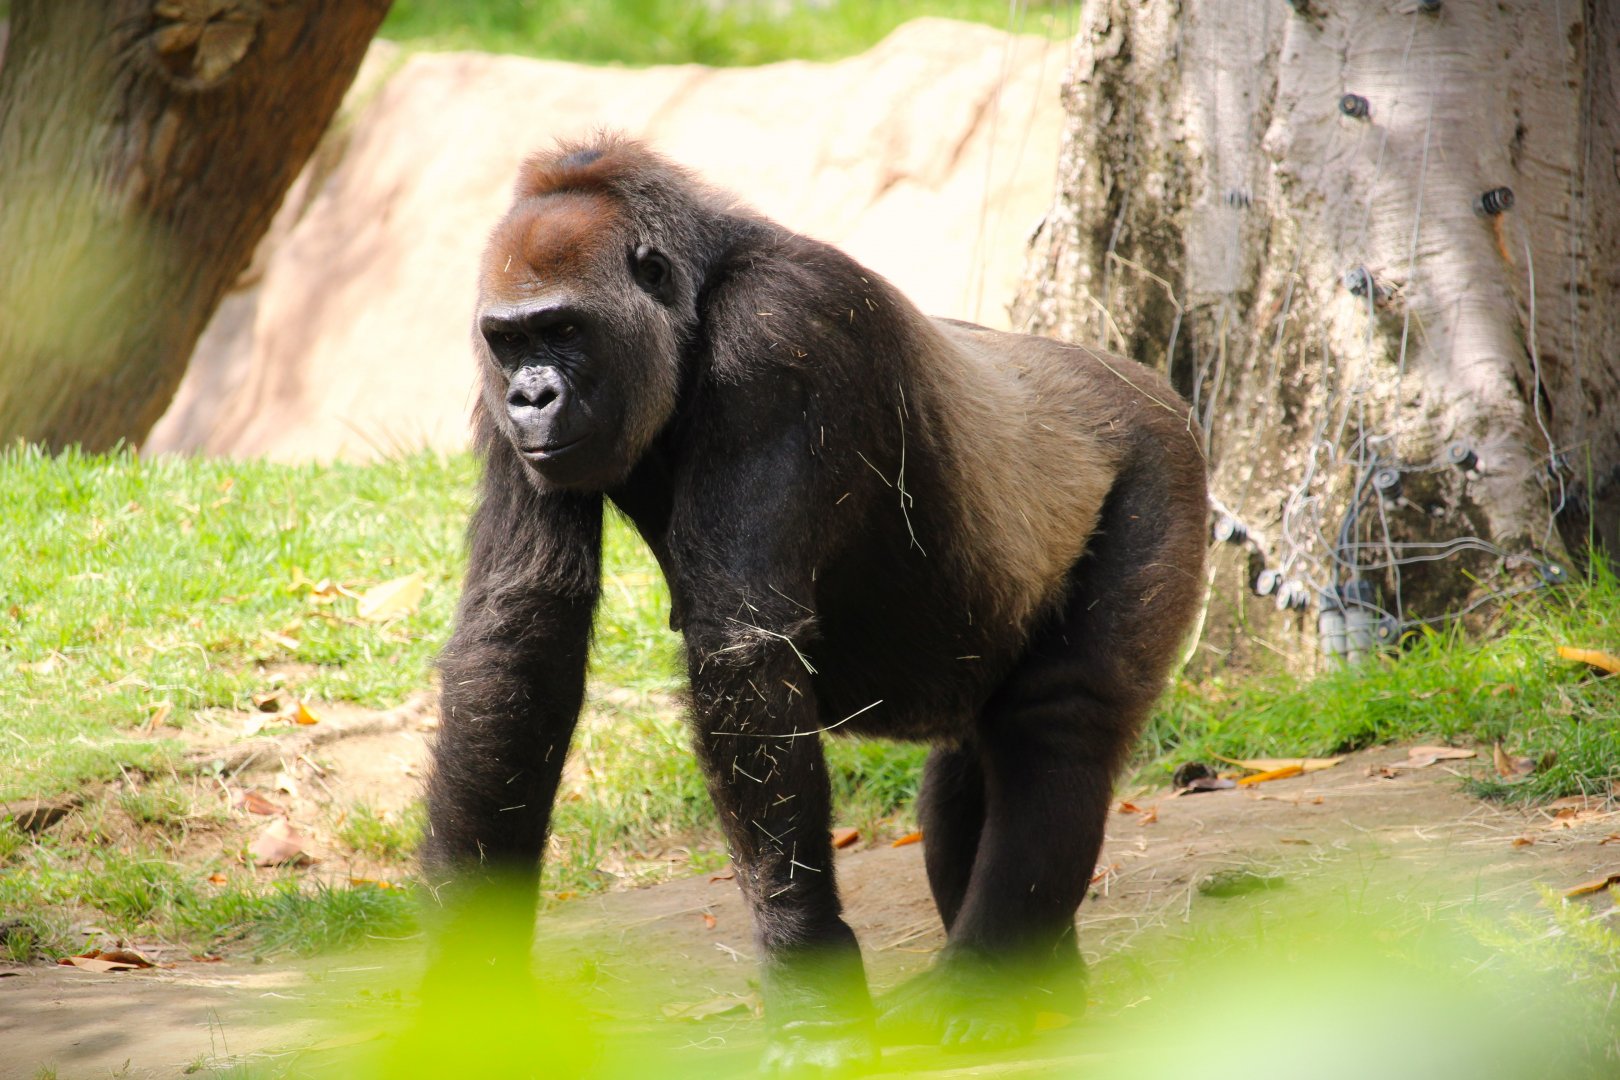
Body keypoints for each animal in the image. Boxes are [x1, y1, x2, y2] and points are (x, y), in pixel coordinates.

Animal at [421, 134, 1207, 1075]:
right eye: (510, 341)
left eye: (566, 330)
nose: (531, 396)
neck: (697, 299)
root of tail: (1137, 378)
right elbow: (520, 638)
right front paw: (471, 995)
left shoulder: (778, 336)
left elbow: (742, 648)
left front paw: (809, 983)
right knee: (972, 767)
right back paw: (1042, 986)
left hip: (1161, 458)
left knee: (1060, 723)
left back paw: (983, 984)